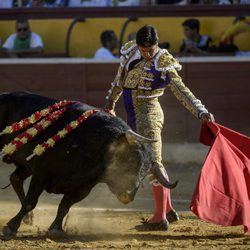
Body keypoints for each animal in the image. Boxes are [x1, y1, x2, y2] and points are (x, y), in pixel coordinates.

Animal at [0, 91, 177, 236]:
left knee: (15, 178)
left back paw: (28, 218)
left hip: (25, 164)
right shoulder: (41, 173)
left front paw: (56, 229)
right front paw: (10, 228)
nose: (129, 195)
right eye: (131, 158)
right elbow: (31, 201)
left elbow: (64, 205)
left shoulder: (83, 187)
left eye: (146, 170)